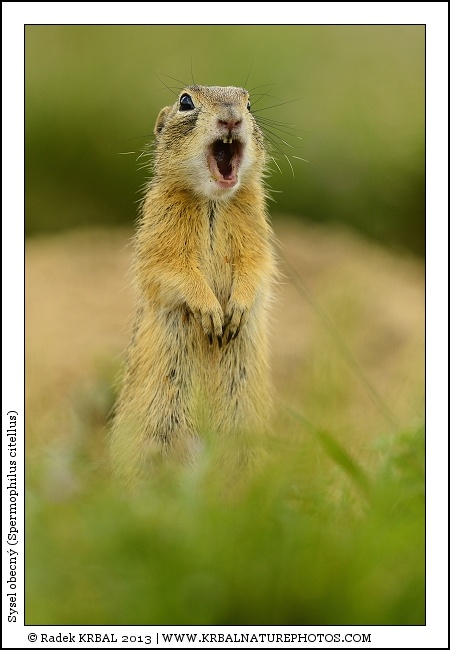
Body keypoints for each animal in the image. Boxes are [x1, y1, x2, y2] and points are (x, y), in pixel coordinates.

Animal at [110, 85, 277, 485]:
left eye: (249, 104)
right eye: (186, 101)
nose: (231, 117)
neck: (214, 201)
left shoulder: (257, 233)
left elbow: (256, 267)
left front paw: (235, 312)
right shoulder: (160, 231)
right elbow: (173, 269)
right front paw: (212, 315)